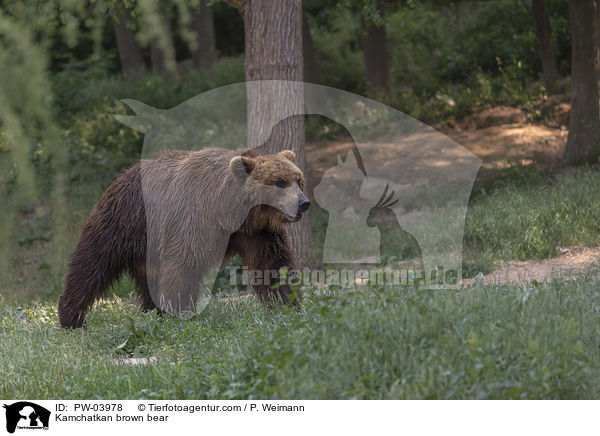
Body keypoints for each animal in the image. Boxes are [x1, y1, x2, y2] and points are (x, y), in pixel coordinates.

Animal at [58, 147, 310, 328]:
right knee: (92, 263)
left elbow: (273, 266)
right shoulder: (195, 220)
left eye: (298, 179)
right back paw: (71, 316)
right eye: (279, 182)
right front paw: (180, 312)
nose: (304, 203)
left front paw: (288, 304)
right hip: (124, 223)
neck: (231, 212)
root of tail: (121, 176)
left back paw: (154, 312)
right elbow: (184, 264)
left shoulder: (258, 232)